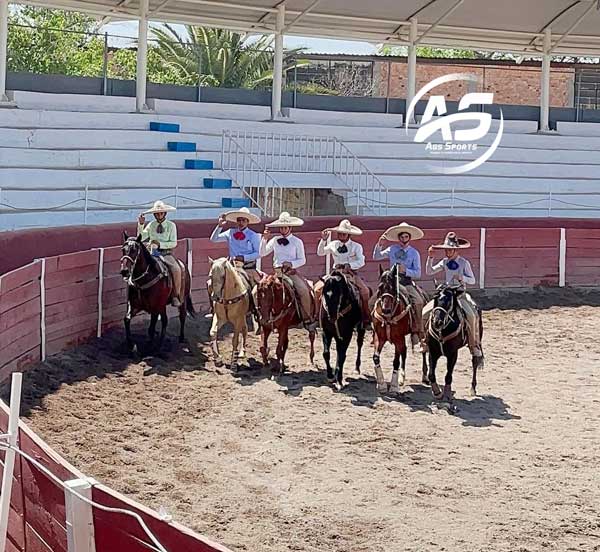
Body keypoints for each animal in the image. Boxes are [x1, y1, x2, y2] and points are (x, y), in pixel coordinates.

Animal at [372, 264, 428, 392]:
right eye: (380, 287)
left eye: (393, 288)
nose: (386, 309)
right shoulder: (379, 337)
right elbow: (376, 357)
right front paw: (381, 384)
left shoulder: (398, 339)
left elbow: (396, 361)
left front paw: (393, 386)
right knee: (405, 351)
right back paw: (401, 378)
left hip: (421, 331)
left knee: (423, 350)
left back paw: (425, 376)